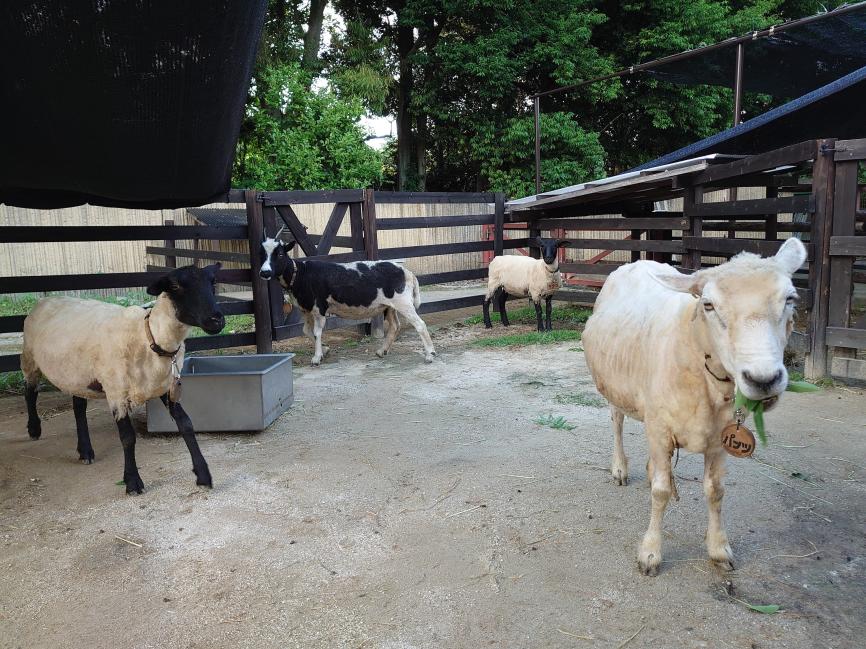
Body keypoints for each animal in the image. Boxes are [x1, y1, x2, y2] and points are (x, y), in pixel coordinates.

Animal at [255, 232, 432, 364]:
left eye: (279, 254)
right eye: (261, 254)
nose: (264, 272)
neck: (299, 274)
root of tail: (408, 273)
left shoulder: (319, 308)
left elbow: (317, 332)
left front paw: (317, 357)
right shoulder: (306, 309)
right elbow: (306, 331)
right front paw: (325, 350)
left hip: (403, 303)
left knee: (420, 324)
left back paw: (430, 353)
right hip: (389, 306)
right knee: (395, 326)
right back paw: (382, 351)